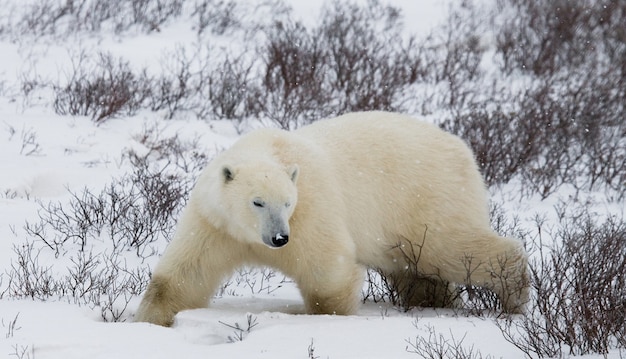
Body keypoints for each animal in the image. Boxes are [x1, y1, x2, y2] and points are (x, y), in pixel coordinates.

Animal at [133, 112, 528, 326]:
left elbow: (327, 271)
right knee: (416, 269)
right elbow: (186, 274)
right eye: (257, 202)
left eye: (287, 202)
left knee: (450, 248)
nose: (279, 239)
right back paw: (434, 302)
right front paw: (149, 321)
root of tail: (463, 149)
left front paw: (328, 320)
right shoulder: (215, 223)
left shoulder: (312, 210)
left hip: (425, 197)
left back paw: (514, 295)